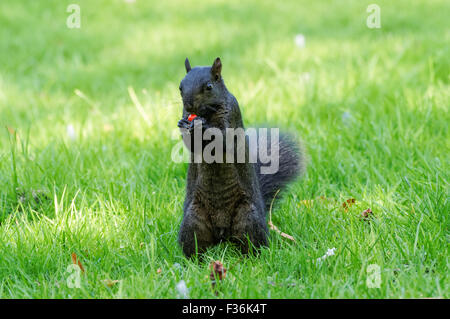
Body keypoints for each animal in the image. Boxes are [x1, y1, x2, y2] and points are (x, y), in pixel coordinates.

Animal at [176, 58, 306, 258]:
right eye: (180, 87)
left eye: (209, 86)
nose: (189, 105)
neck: (207, 113)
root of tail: (222, 235)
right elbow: (192, 144)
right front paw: (184, 124)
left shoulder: (232, 114)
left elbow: (225, 140)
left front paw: (203, 127)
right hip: (193, 220)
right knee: (196, 245)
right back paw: (193, 261)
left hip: (248, 218)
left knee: (252, 244)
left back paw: (253, 258)